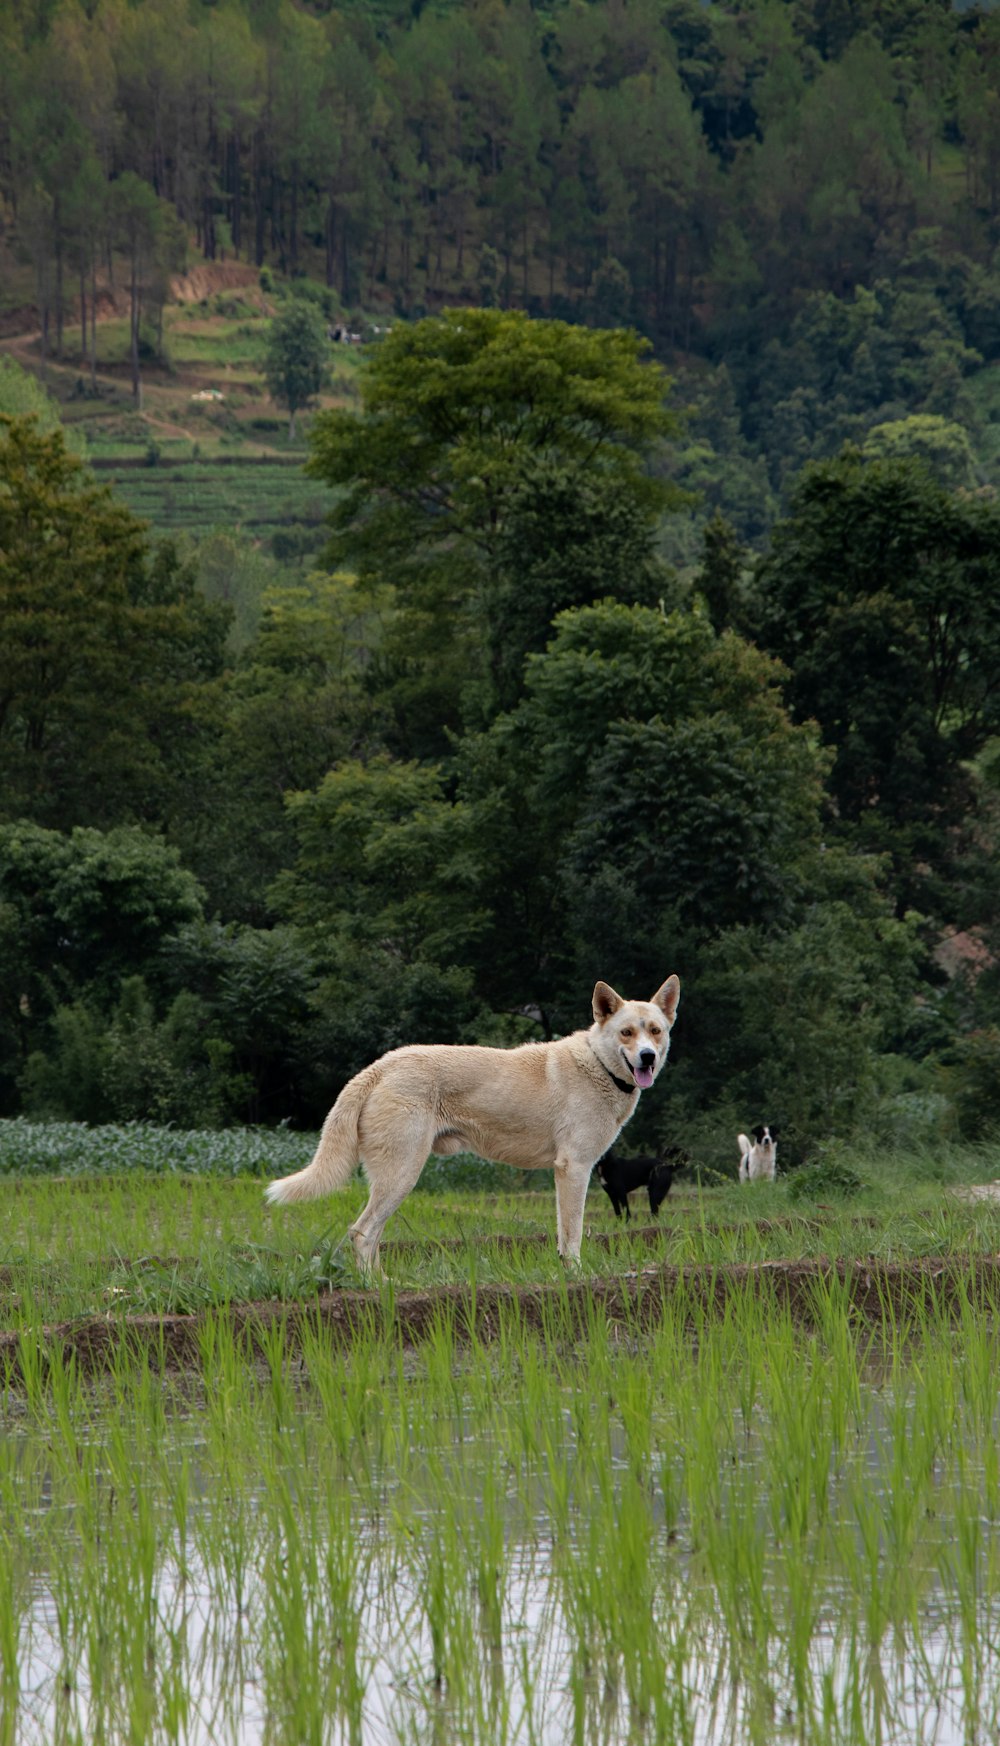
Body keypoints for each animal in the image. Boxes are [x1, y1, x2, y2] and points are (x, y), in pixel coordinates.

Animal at [265, 977, 677, 1278]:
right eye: (626, 1033)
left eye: (656, 1031)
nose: (647, 1057)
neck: (599, 1066)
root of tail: (380, 1067)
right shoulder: (574, 1169)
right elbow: (573, 1233)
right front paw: (575, 1277)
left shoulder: (567, 1173)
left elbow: (563, 1234)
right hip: (402, 1174)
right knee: (362, 1233)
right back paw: (379, 1289)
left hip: (394, 1179)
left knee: (370, 1236)